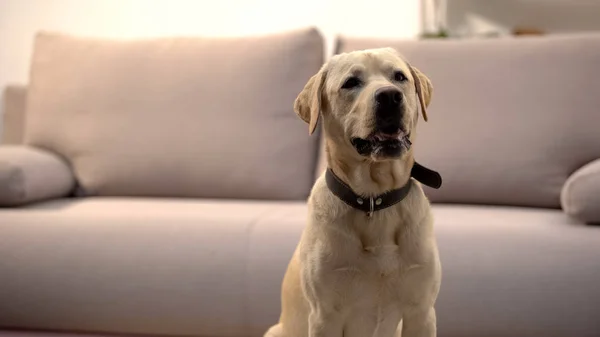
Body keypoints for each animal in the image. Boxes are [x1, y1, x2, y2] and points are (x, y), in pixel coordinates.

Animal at [264, 46, 442, 336]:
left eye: (399, 77)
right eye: (351, 83)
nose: (390, 96)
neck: (374, 200)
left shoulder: (421, 312)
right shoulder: (325, 316)